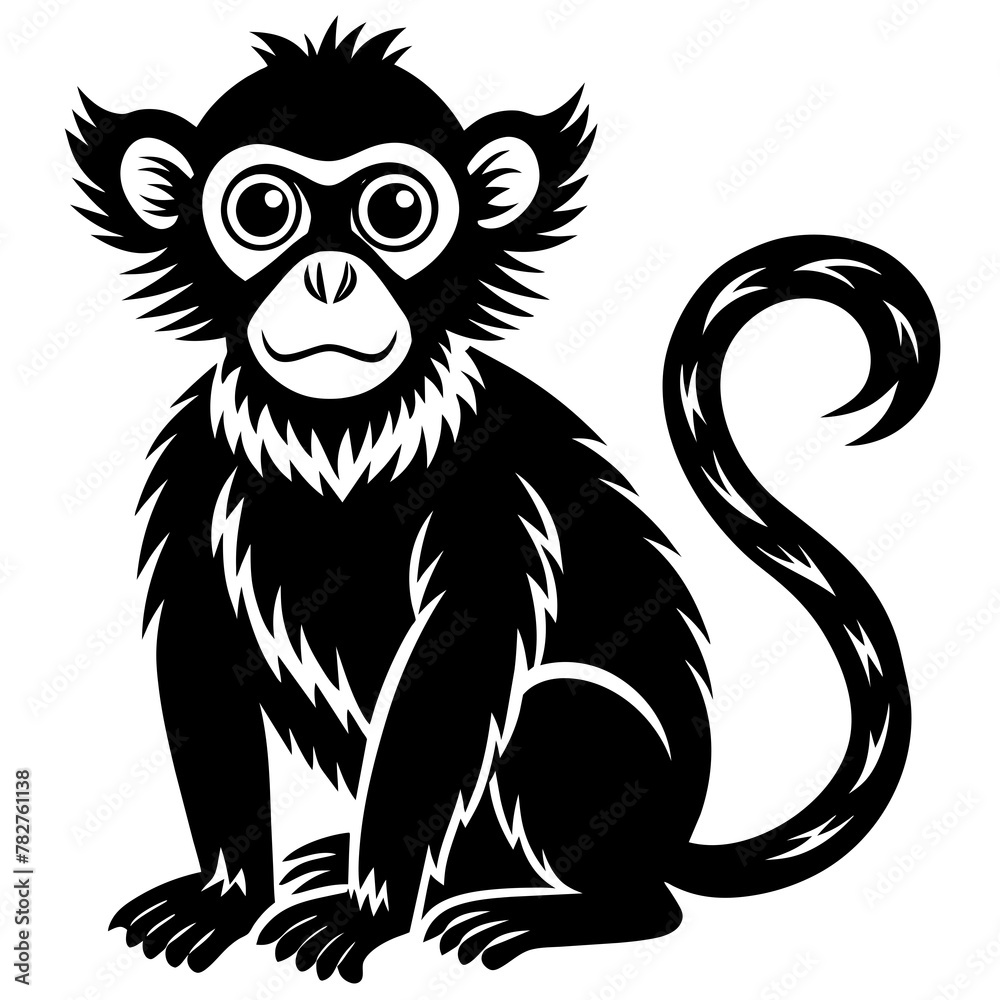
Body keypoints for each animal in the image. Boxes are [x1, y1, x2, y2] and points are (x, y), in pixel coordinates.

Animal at [69, 19, 939, 983]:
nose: (330, 278)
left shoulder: (489, 482)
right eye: (262, 212)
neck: (338, 427)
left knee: (564, 718)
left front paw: (366, 912)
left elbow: (459, 656)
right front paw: (226, 897)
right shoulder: (195, 464)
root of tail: (673, 834)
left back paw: (555, 909)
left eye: (395, 212)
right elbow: (199, 652)